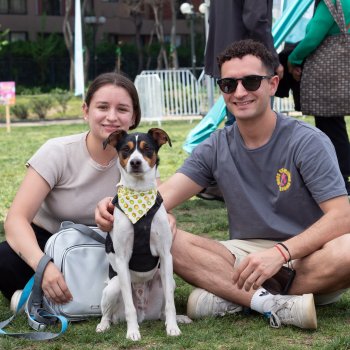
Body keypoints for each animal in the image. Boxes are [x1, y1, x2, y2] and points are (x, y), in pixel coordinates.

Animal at [95, 127, 190, 340]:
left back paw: (177, 319)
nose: (135, 162)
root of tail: (144, 313)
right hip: (114, 287)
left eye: (147, 149)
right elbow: (129, 307)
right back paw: (104, 325)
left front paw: (173, 328)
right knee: (109, 314)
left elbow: (170, 304)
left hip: (167, 280)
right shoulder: (122, 259)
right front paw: (132, 332)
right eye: (126, 150)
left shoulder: (166, 255)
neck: (139, 194)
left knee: (163, 309)